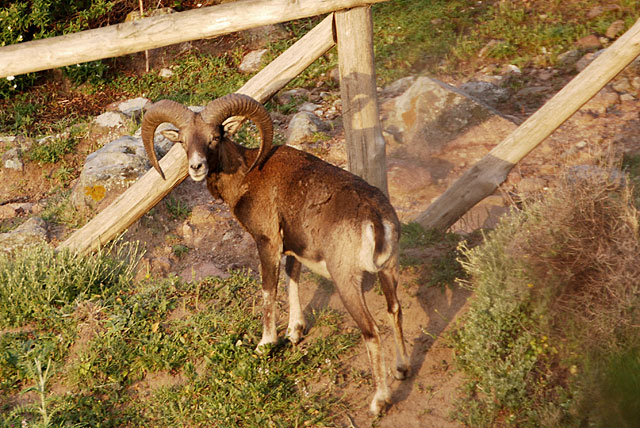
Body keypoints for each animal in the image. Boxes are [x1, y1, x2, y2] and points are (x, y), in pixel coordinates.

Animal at [141, 93, 409, 415]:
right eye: (182, 140)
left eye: (215, 137)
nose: (196, 167)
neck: (246, 176)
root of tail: (376, 220)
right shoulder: (293, 249)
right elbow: (293, 278)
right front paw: (295, 332)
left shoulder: (267, 243)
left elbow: (269, 290)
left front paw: (266, 344)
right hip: (388, 271)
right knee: (395, 311)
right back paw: (402, 370)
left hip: (347, 282)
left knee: (371, 332)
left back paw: (378, 402)